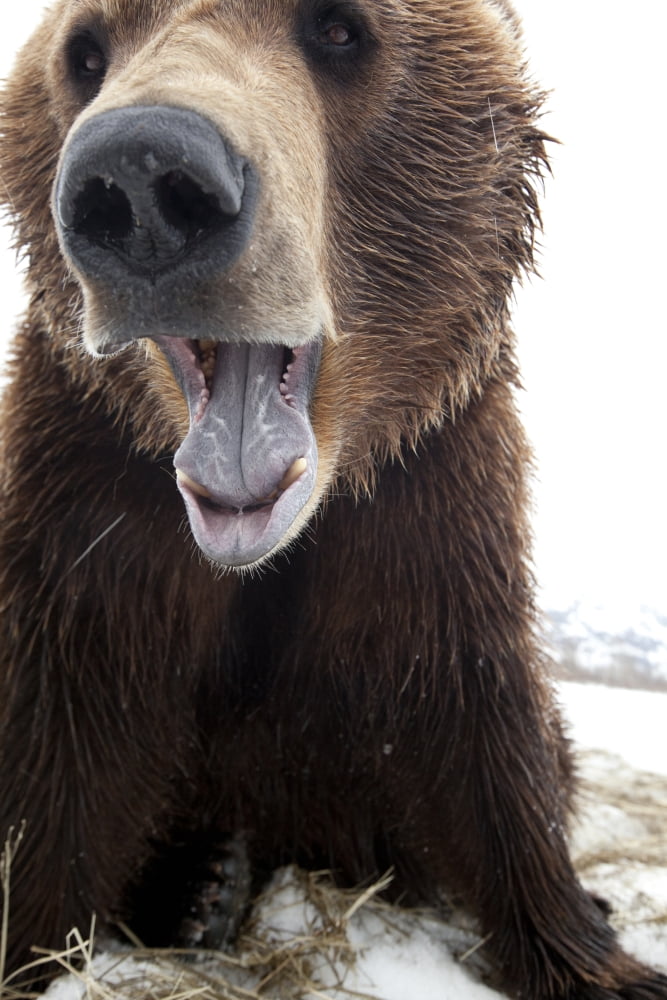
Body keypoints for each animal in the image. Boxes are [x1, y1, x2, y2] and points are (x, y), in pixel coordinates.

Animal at [0, 0, 665, 996]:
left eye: (340, 31)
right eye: (84, 53)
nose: (143, 178)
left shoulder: (432, 494)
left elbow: (479, 716)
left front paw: (591, 949)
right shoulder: (87, 495)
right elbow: (62, 743)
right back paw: (202, 886)